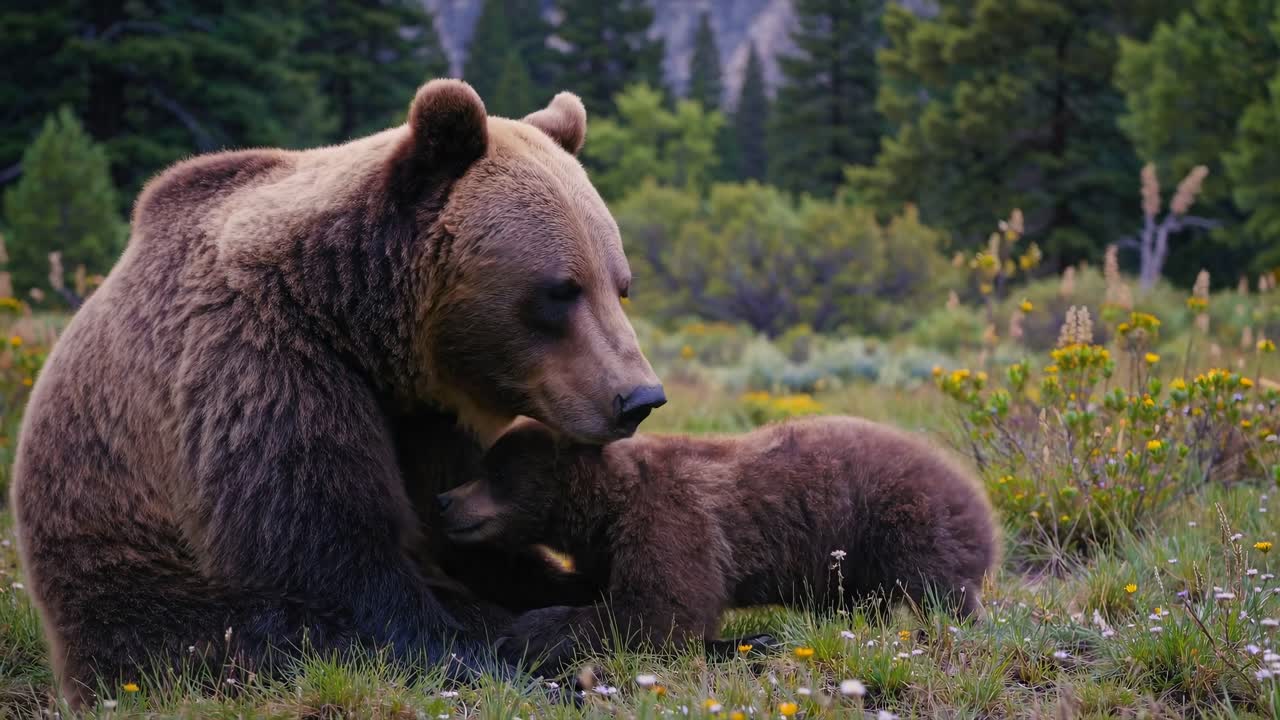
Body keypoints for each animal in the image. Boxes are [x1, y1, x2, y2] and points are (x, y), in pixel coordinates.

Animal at [11, 79, 666, 708]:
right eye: (560, 290)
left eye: (620, 285)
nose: (638, 397)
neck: (357, 328)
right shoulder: (261, 371)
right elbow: (338, 567)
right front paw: (525, 675)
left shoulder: (429, 421)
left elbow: (472, 527)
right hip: (146, 592)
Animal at [437, 415, 1000, 670]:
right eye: (481, 467)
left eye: (494, 473)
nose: (444, 499)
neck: (604, 507)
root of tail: (980, 501)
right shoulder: (606, 546)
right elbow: (606, 591)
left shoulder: (671, 516)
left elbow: (660, 611)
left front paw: (526, 631)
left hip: (900, 518)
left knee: (936, 586)